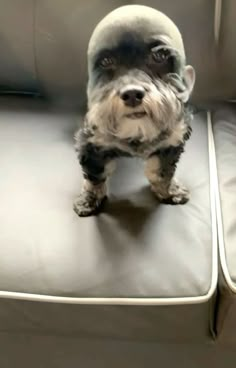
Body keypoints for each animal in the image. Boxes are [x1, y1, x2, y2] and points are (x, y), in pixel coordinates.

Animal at [74, 4, 195, 217]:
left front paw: (169, 191)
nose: (132, 94)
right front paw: (89, 199)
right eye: (106, 61)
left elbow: (163, 171)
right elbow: (94, 176)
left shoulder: (174, 139)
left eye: (160, 56)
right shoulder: (91, 143)